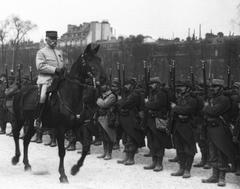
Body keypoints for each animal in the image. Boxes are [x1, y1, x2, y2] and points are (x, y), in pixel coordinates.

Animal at [10, 43, 106, 182]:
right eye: (88, 60)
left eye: (99, 59)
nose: (103, 79)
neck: (71, 96)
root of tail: (20, 91)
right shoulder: (60, 129)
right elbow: (62, 152)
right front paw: (63, 175)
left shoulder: (77, 126)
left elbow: (86, 146)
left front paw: (75, 168)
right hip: (20, 119)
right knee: (16, 135)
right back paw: (16, 158)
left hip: (33, 124)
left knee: (26, 140)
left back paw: (27, 164)